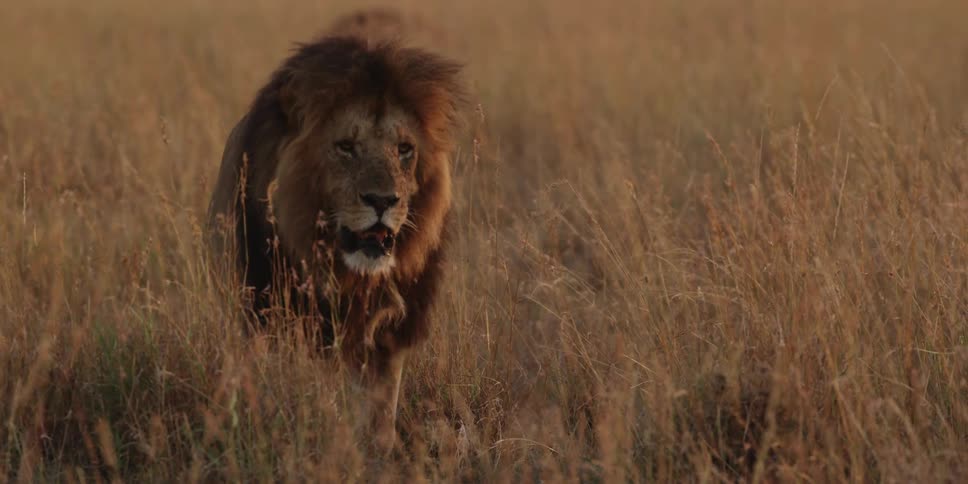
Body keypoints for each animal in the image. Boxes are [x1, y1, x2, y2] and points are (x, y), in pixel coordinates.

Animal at [206, 26, 464, 449]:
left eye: (404, 149)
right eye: (346, 146)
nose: (383, 200)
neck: (349, 276)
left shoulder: (389, 331)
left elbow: (382, 405)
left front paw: (380, 447)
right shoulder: (280, 318)